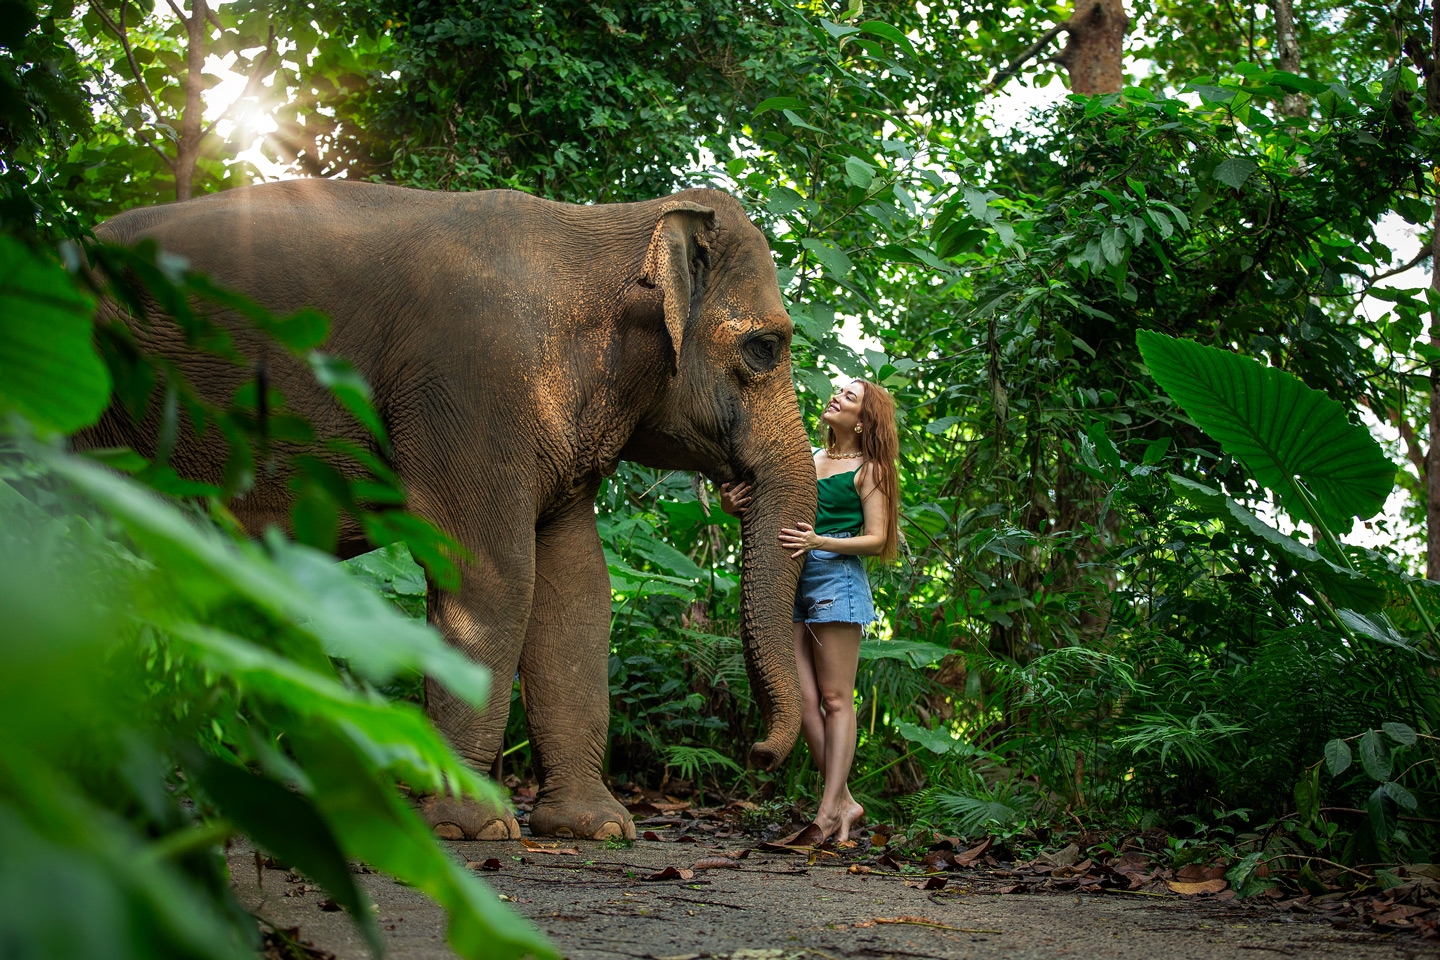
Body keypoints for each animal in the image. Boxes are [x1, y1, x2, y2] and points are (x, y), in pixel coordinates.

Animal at [81, 179, 823, 840]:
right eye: (765, 347)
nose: (760, 755)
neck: (609, 227)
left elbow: (577, 591)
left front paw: (598, 830)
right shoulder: (471, 386)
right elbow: (494, 579)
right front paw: (473, 829)